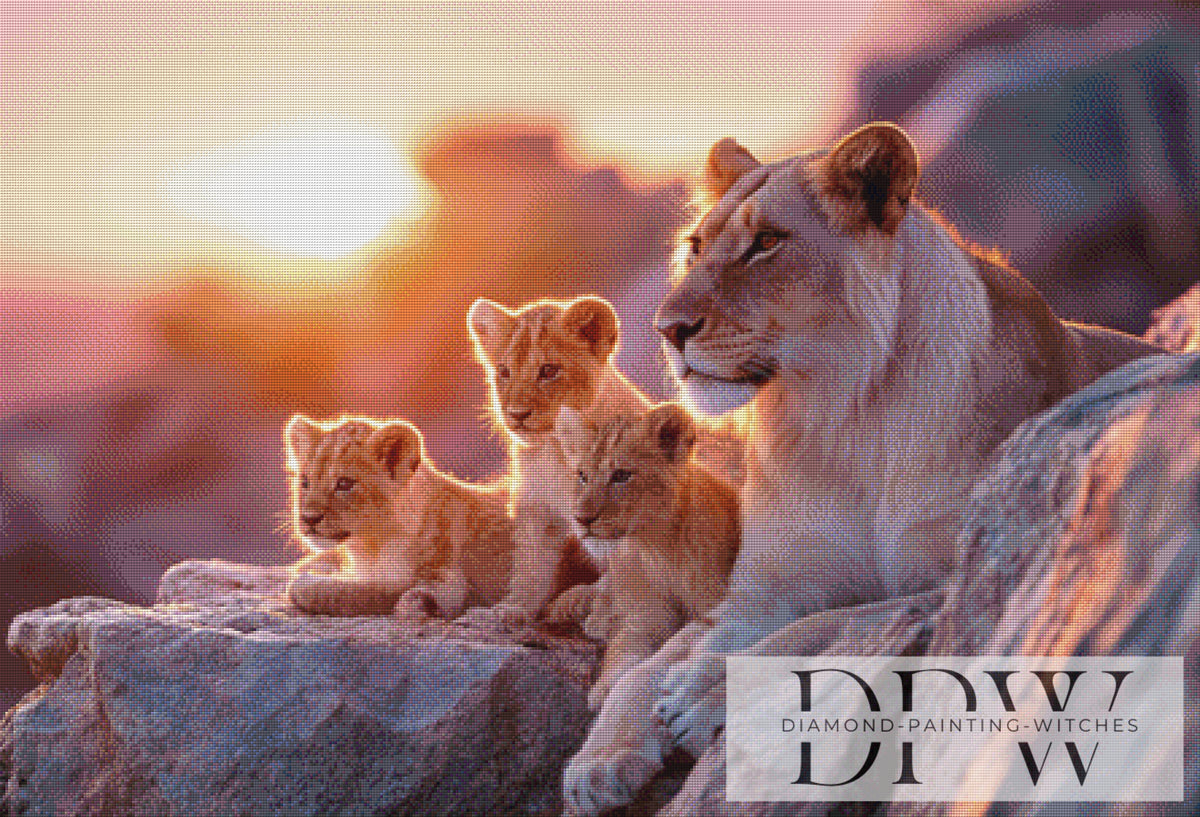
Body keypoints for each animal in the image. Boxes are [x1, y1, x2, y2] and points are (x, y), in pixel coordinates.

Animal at [284, 414, 515, 619]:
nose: (309, 518)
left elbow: (361, 593)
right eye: (305, 482)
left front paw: (305, 584)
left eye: (344, 483)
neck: (368, 548)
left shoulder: (446, 583)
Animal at [561, 121, 1163, 813]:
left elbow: (827, 624)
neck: (839, 424)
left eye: (768, 243)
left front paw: (701, 693)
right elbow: (655, 659)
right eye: (696, 246)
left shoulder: (960, 577)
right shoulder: (762, 588)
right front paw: (597, 761)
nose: (667, 329)